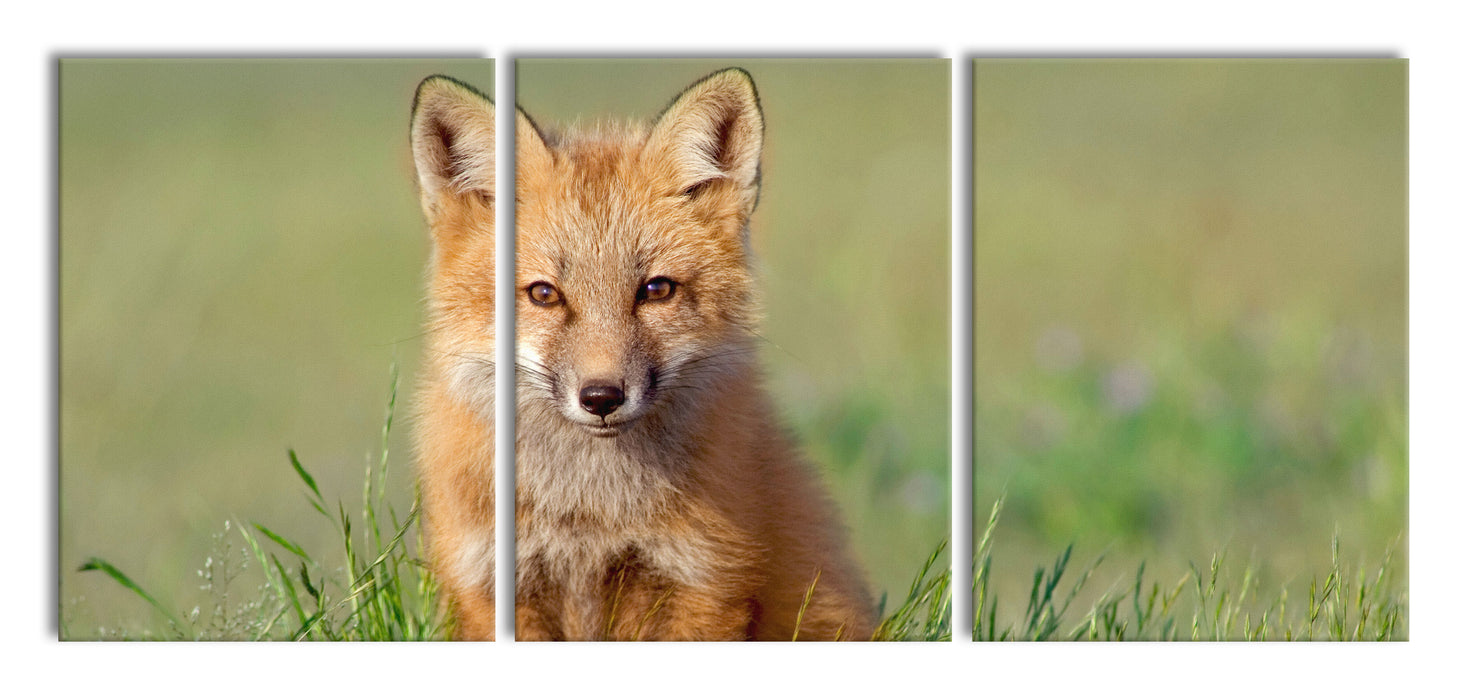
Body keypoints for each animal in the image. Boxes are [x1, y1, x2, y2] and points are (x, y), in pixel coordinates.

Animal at [408, 66, 874, 639]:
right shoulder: (490, 585)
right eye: (544, 294)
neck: (588, 514)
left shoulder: (703, 579)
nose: (602, 397)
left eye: (656, 290)